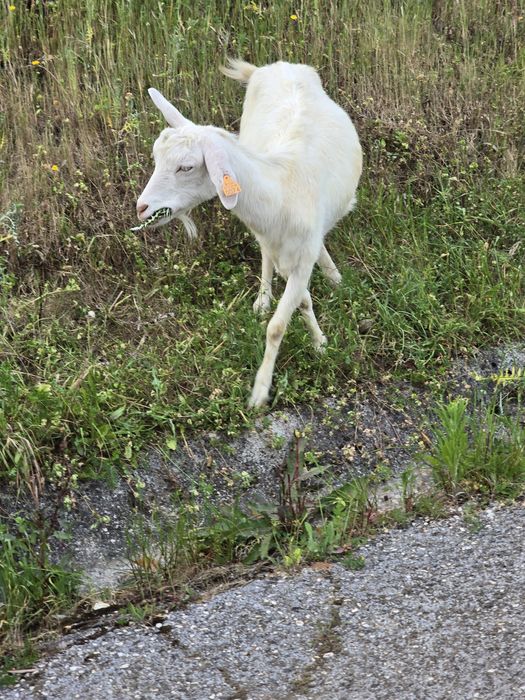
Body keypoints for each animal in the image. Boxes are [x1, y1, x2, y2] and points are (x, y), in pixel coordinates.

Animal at [136, 59, 363, 408]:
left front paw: (261, 390)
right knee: (267, 257)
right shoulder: (283, 252)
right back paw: (264, 298)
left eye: (186, 167)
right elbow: (301, 301)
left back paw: (332, 275)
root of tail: (275, 65)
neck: (281, 189)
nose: (142, 208)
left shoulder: (301, 258)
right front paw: (315, 337)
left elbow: (279, 325)